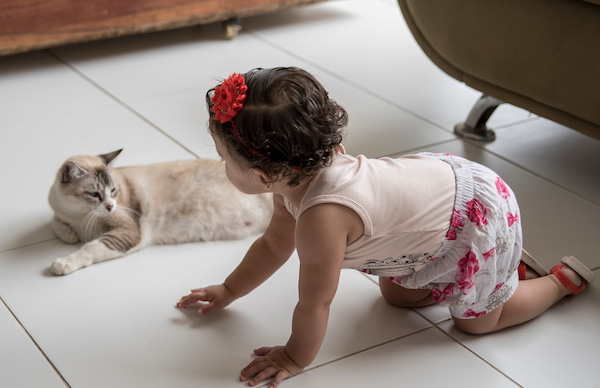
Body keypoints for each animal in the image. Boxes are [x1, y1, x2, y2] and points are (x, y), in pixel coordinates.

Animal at [49, 149, 274, 276]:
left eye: (113, 191)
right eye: (94, 194)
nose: (110, 206)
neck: (80, 216)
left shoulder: (127, 234)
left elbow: (89, 248)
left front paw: (63, 263)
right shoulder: (60, 211)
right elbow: (56, 223)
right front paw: (70, 235)